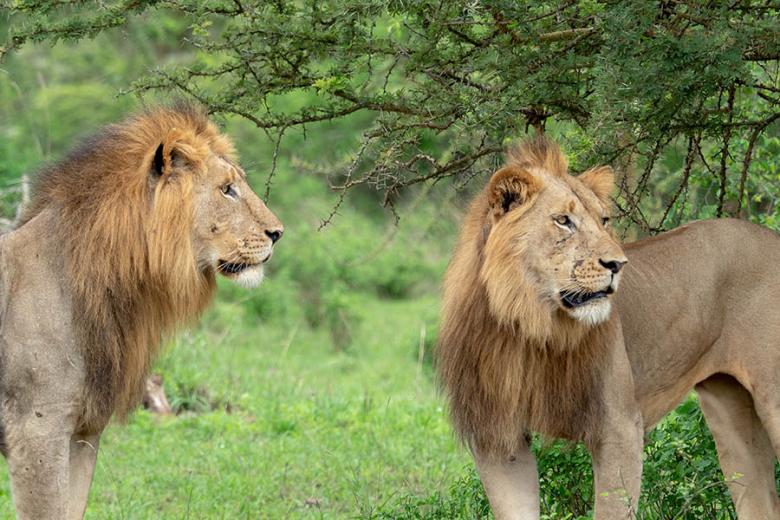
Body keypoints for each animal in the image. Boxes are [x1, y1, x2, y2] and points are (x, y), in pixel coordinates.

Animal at [437, 136, 780, 519]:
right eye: (563, 221)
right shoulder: (497, 439)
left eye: (603, 220)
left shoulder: (619, 428)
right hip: (730, 408)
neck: (529, 326)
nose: (618, 264)